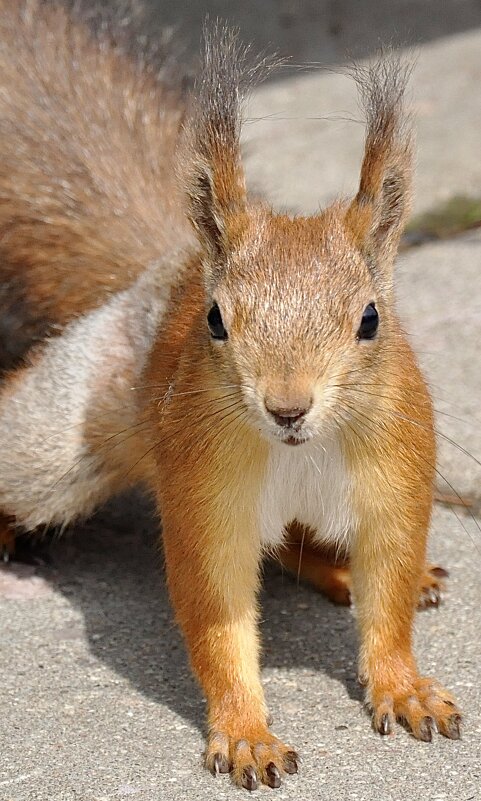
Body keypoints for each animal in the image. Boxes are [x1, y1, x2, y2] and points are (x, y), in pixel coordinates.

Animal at [0, 2, 462, 792]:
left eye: (371, 319)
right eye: (216, 320)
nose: (287, 406)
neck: (299, 450)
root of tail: (170, 267)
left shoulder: (394, 481)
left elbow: (390, 596)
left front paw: (404, 686)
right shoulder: (203, 494)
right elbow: (217, 619)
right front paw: (246, 732)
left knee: (306, 546)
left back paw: (349, 572)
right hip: (61, 436)